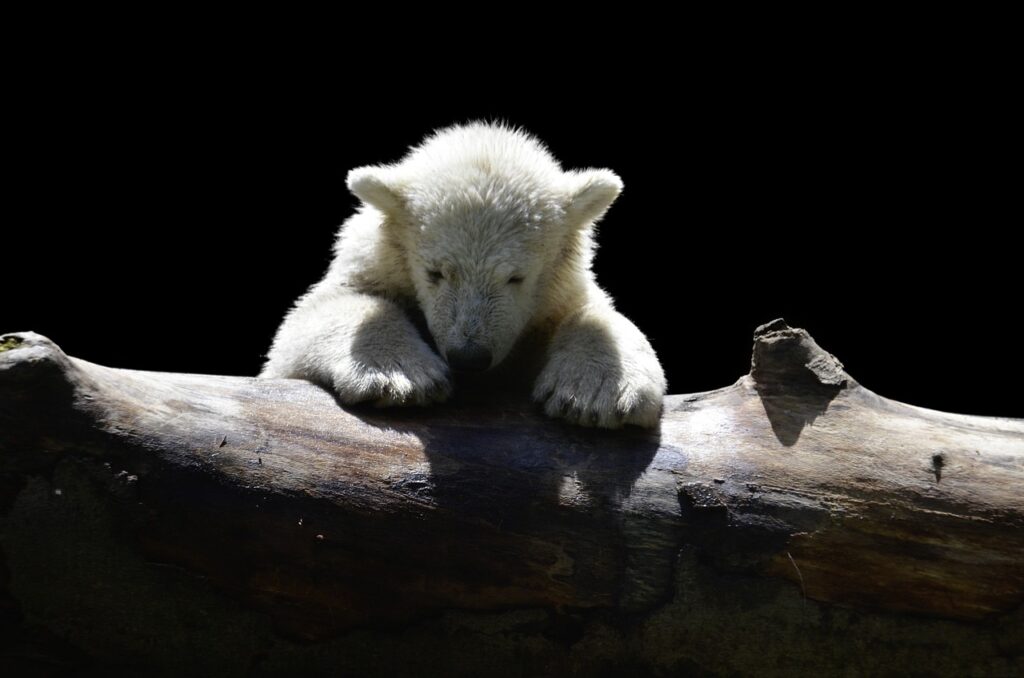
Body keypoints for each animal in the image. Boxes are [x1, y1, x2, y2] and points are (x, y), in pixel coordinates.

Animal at [260, 122, 666, 428]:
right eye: (435, 272)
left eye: (516, 277)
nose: (469, 357)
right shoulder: (371, 265)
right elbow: (314, 315)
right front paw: (400, 377)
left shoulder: (556, 296)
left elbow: (593, 315)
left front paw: (597, 394)